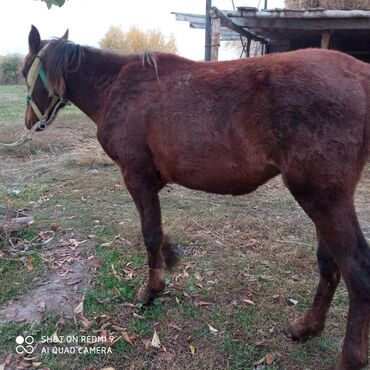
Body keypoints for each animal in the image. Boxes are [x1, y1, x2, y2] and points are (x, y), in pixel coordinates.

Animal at [23, 25, 370, 368]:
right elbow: (159, 232)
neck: (117, 86)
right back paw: (305, 327)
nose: (29, 122)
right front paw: (170, 256)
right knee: (329, 264)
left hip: (322, 199)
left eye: (26, 71)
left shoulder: (137, 176)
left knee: (356, 270)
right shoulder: (153, 181)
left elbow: (150, 233)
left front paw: (151, 290)